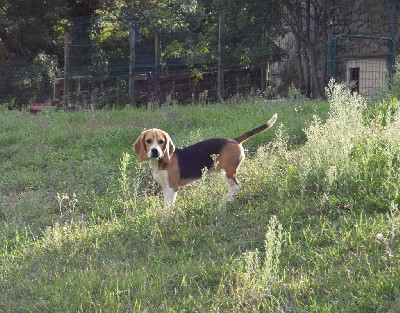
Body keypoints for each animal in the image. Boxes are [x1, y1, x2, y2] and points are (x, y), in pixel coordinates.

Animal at [133, 113, 276, 206]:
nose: (155, 151)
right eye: (148, 141)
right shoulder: (164, 188)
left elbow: (168, 208)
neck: (160, 162)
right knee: (233, 187)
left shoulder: (171, 188)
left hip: (228, 171)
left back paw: (225, 201)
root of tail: (234, 140)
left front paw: (165, 220)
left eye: (161, 142)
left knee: (237, 187)